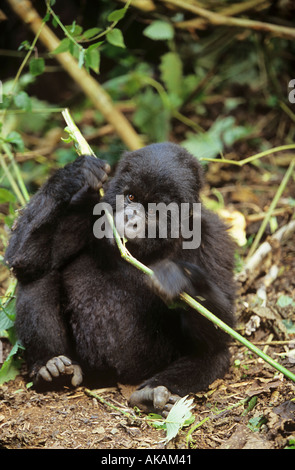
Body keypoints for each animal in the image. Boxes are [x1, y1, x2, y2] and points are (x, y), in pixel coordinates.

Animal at [4, 142, 236, 414]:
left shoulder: (213, 237)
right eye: (131, 197)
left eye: (155, 209)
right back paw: (50, 366)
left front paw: (178, 278)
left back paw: (151, 393)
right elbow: (24, 259)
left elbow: (222, 328)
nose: (129, 218)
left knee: (215, 353)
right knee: (36, 275)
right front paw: (71, 176)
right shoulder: (87, 207)